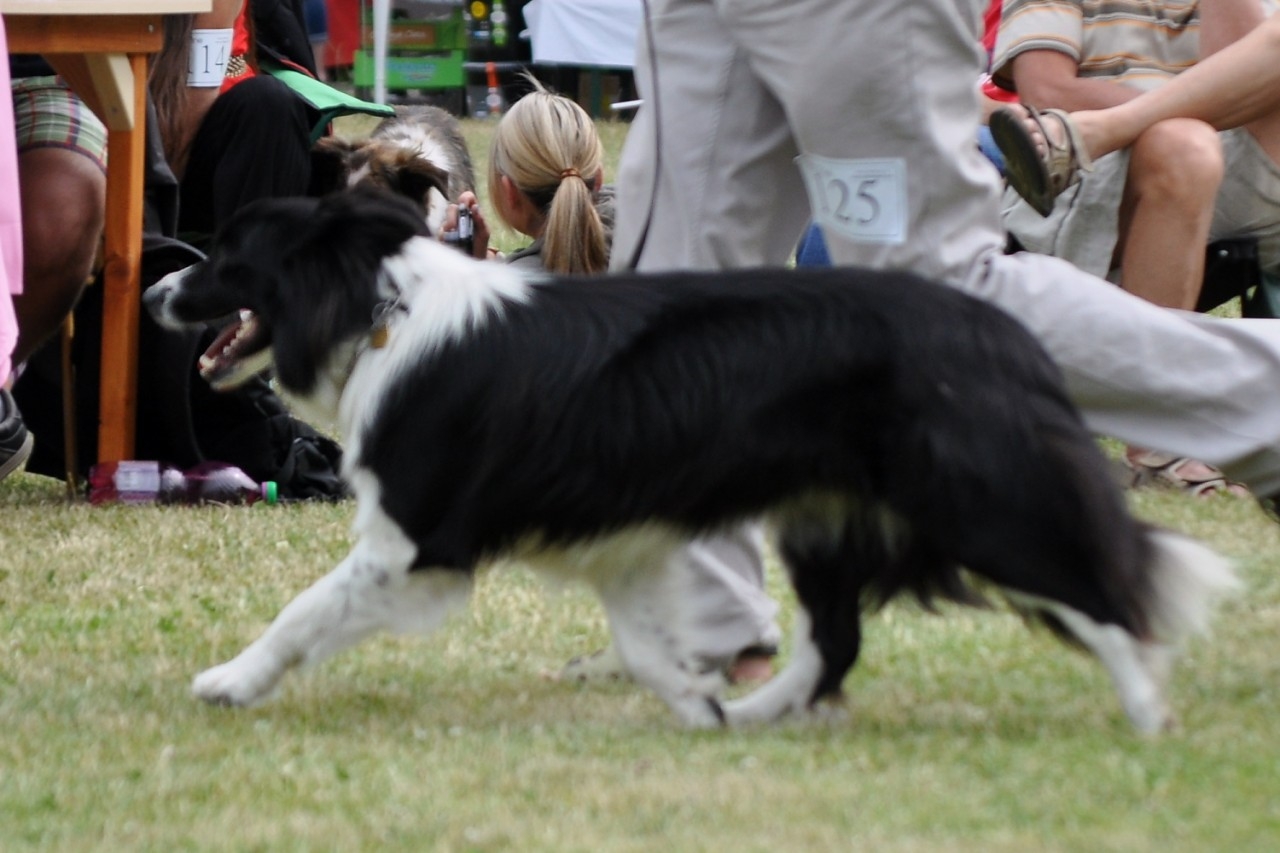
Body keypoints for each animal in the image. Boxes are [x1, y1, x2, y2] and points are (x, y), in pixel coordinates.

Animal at [144, 188, 1236, 733]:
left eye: (228, 255)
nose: (154, 293)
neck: (376, 308)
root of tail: (1005, 335)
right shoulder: (619, 544)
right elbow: (640, 643)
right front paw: (694, 705)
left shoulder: (416, 541)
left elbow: (306, 608)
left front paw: (228, 681)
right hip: (822, 514)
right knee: (834, 639)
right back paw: (754, 714)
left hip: (974, 493)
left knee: (1100, 581)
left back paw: (1147, 712)